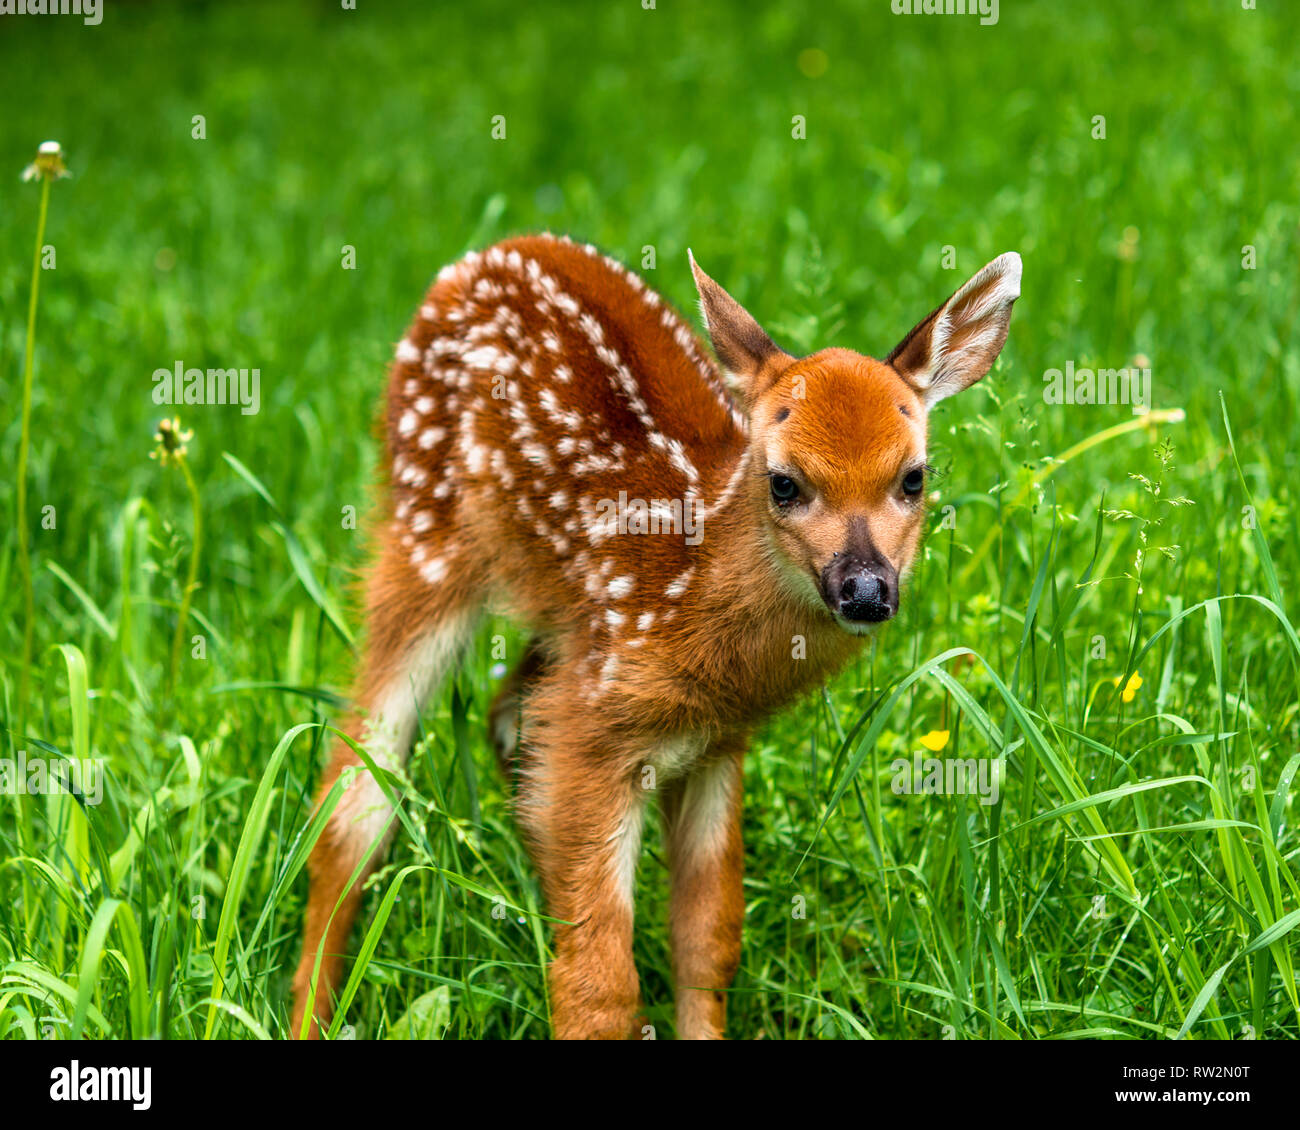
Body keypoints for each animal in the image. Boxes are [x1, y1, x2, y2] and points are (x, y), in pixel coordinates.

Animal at [291, 233, 1021, 1040]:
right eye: (785, 482)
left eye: (913, 477)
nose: (865, 589)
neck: (686, 591)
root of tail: (485, 256)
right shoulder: (593, 729)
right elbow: (600, 986)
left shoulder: (717, 741)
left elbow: (708, 937)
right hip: (425, 532)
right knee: (353, 802)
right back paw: (309, 1012)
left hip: (557, 625)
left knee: (505, 715)